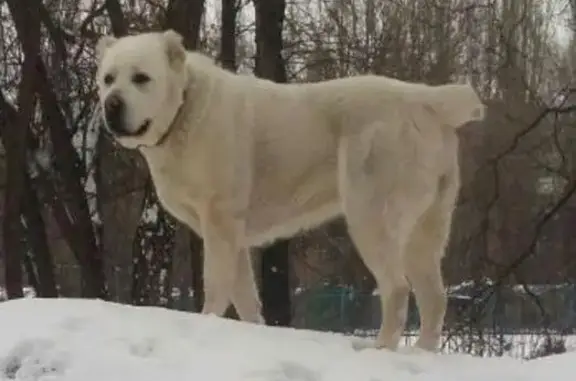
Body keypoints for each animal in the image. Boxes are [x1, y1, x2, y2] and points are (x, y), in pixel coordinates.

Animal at [97, 29, 484, 350]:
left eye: (141, 78)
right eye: (107, 79)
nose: (111, 104)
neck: (185, 108)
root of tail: (426, 100)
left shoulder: (220, 224)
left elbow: (218, 286)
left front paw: (206, 324)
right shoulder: (234, 236)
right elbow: (245, 297)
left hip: (371, 214)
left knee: (398, 289)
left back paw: (380, 350)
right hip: (426, 229)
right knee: (435, 297)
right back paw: (422, 353)